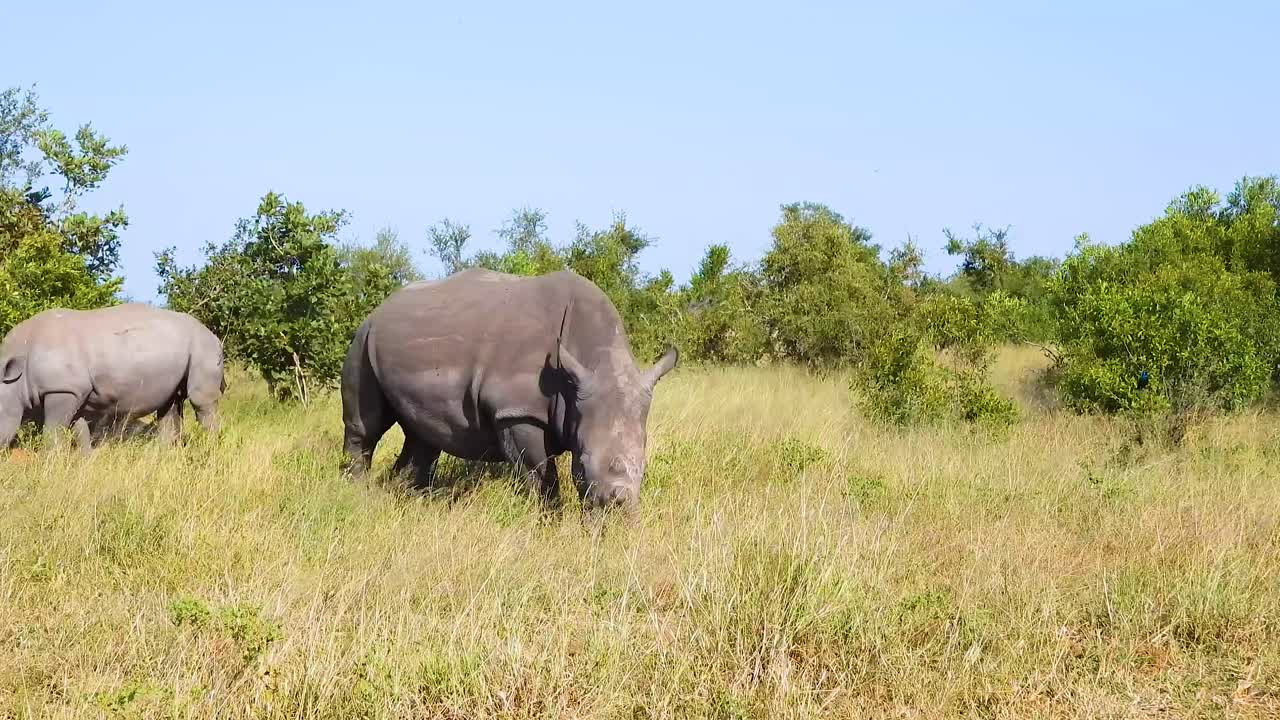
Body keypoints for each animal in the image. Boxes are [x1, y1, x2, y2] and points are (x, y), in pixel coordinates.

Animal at [0, 304, 225, 451]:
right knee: (170, 405)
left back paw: (210, 451)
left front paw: (51, 463)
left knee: (200, 401)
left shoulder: (63, 389)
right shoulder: (77, 391)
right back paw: (162, 458)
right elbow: (79, 429)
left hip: (203, 346)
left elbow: (53, 431)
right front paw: (86, 461)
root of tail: (213, 335)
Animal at [341, 268, 678, 514]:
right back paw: (358, 495)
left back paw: (408, 500)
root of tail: (379, 307)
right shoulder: (516, 412)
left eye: (644, 467)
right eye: (581, 466)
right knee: (365, 426)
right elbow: (541, 475)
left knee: (423, 434)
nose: (617, 511)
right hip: (363, 338)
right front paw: (548, 522)